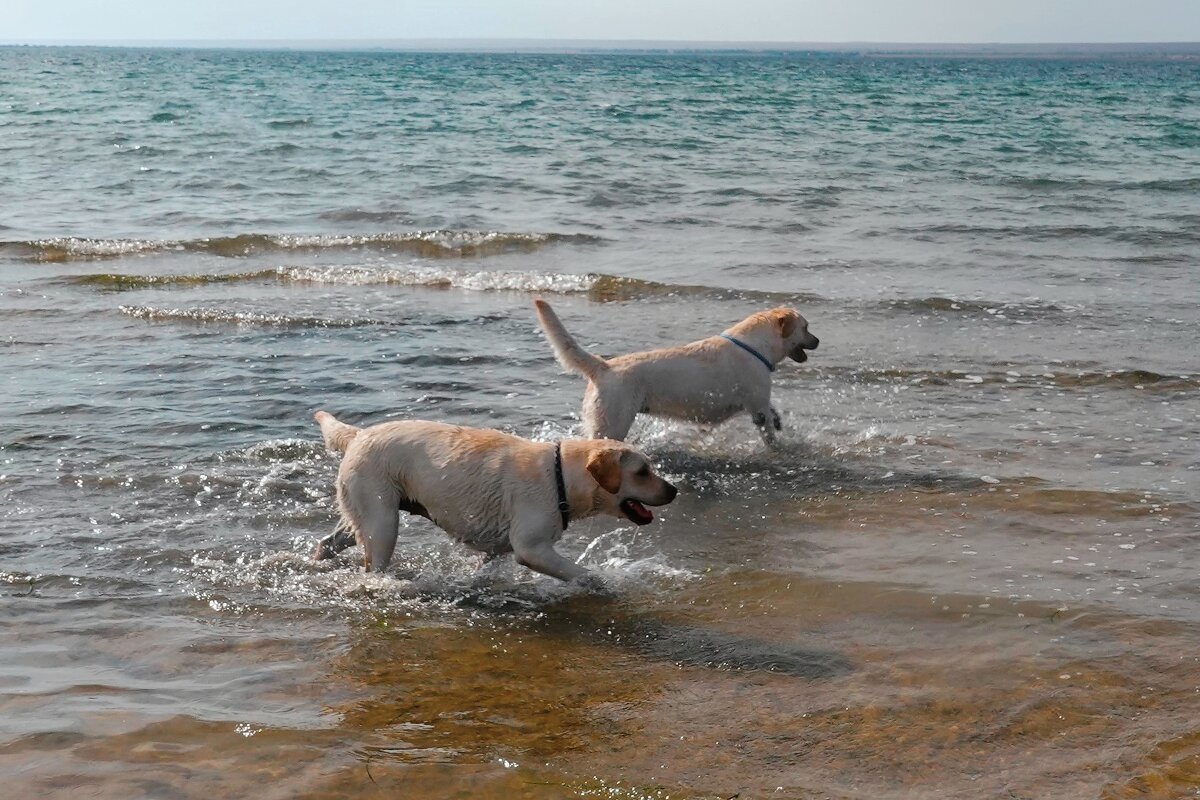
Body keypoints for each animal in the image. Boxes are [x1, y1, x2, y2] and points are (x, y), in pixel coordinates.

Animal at [309, 410, 676, 585]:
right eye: (643, 471)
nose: (674, 490)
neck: (560, 476)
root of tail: (358, 435)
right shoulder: (531, 548)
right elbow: (582, 572)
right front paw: (603, 584)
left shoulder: (498, 551)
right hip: (383, 522)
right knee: (374, 563)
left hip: (365, 514)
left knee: (329, 541)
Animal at [532, 298, 816, 443]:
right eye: (806, 327)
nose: (818, 341)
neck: (755, 346)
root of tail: (604, 366)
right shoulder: (756, 404)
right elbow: (768, 429)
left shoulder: (759, 402)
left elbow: (772, 412)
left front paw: (779, 421)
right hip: (612, 423)